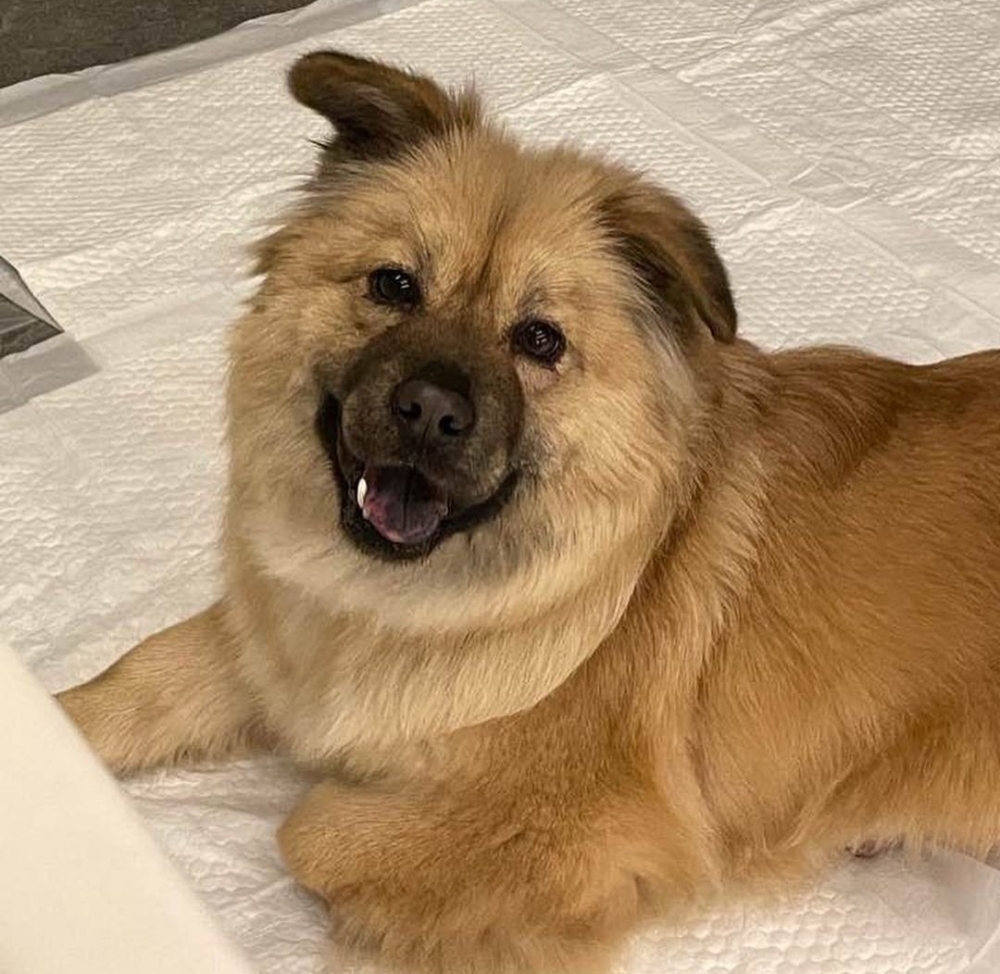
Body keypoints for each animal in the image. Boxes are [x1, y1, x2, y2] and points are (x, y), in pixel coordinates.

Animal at [59, 50, 1000, 974]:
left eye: (539, 340)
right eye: (393, 285)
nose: (430, 411)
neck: (405, 604)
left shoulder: (584, 823)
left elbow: (308, 828)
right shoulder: (268, 641)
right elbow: (133, 683)